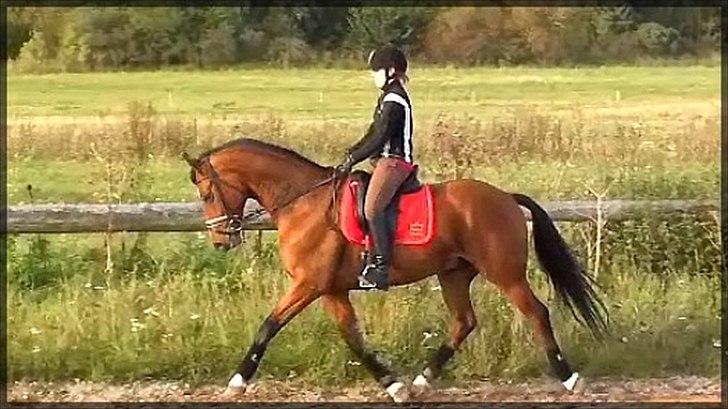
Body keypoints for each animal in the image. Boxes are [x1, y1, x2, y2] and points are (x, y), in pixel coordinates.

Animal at [183, 139, 608, 400]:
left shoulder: (309, 285)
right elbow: (354, 339)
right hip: (454, 274)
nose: (221, 240)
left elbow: (268, 326)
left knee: (536, 313)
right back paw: (421, 381)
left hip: (505, 273)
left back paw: (570, 379)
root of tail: (505, 197)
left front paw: (237, 382)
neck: (303, 202)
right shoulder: (332, 290)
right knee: (464, 322)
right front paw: (395, 386)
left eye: (207, 191)